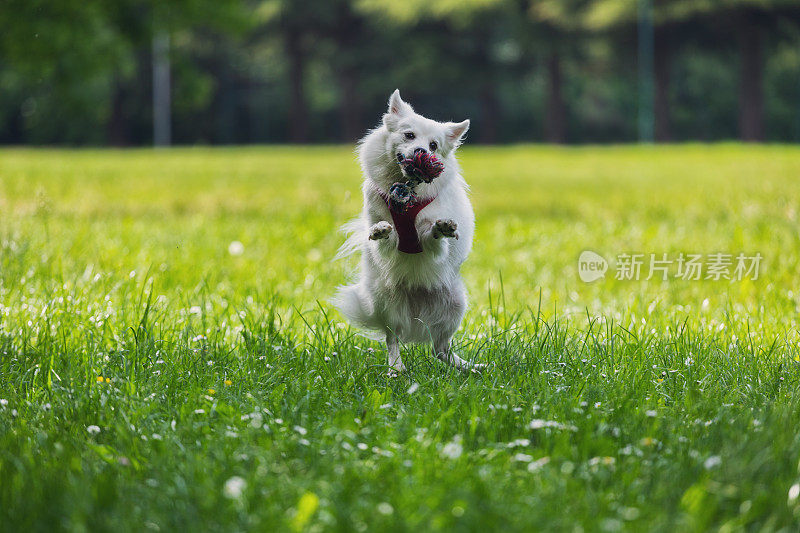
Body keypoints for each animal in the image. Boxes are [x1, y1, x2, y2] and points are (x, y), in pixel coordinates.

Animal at [332, 89, 482, 374]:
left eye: (433, 146)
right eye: (409, 135)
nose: (421, 150)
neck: (406, 189)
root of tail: (416, 313)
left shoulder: (429, 242)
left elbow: (434, 236)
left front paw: (442, 227)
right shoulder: (388, 240)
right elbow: (386, 236)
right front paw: (381, 230)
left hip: (455, 303)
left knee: (440, 349)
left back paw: (470, 366)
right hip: (387, 303)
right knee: (393, 338)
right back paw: (396, 368)